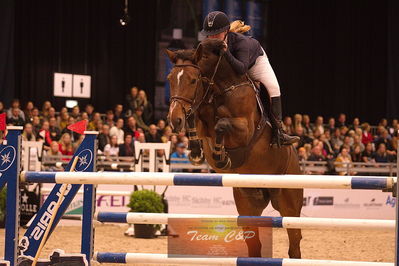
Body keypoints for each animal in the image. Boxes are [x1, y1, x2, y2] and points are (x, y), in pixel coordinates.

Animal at [166, 38, 304, 258]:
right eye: (170, 79)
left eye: (193, 80)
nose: (174, 119)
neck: (219, 88)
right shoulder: (201, 120)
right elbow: (194, 119)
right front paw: (196, 152)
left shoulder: (245, 131)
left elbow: (221, 124)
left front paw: (221, 156)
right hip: (247, 204)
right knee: (254, 245)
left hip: (289, 205)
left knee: (295, 242)